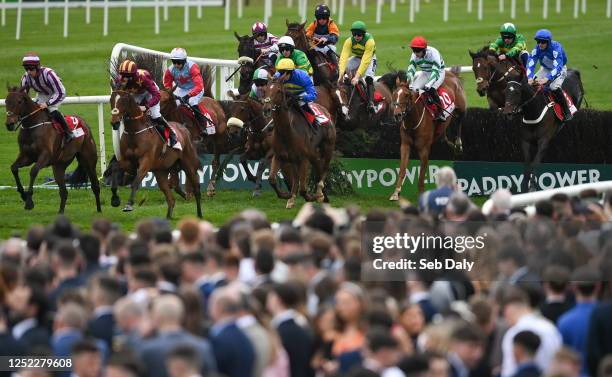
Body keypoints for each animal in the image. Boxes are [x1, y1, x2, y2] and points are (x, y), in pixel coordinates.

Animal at [110, 89, 203, 217]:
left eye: (123, 102)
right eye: (111, 100)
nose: (114, 123)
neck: (134, 132)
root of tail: (184, 129)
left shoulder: (146, 162)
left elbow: (136, 182)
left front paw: (128, 205)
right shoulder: (127, 162)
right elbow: (115, 169)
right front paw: (115, 199)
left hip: (189, 164)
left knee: (196, 187)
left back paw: (199, 214)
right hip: (162, 171)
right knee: (171, 197)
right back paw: (169, 216)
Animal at [260, 76, 338, 209]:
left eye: (279, 91)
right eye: (265, 90)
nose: (267, 109)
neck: (288, 130)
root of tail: (325, 111)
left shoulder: (304, 158)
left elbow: (303, 189)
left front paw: (312, 196)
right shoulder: (279, 156)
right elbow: (272, 179)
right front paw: (286, 195)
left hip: (327, 148)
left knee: (323, 169)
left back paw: (320, 193)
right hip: (300, 158)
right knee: (307, 173)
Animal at [390, 71, 466, 200]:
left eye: (406, 95)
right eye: (395, 94)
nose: (397, 115)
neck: (413, 121)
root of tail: (451, 73)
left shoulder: (424, 149)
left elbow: (422, 174)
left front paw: (422, 194)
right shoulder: (405, 145)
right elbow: (402, 169)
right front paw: (396, 192)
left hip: (461, 107)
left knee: (460, 119)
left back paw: (458, 145)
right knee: (444, 133)